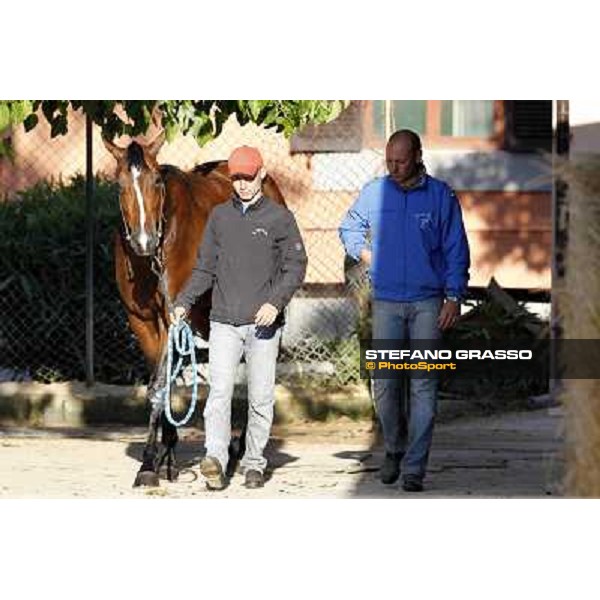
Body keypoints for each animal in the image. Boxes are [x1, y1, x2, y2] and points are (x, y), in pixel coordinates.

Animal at [103, 132, 286, 488]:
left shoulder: (174, 315)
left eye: (156, 181)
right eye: (119, 185)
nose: (144, 242)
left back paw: (238, 451)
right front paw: (167, 459)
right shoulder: (142, 322)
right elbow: (162, 383)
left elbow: (159, 387)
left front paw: (148, 465)